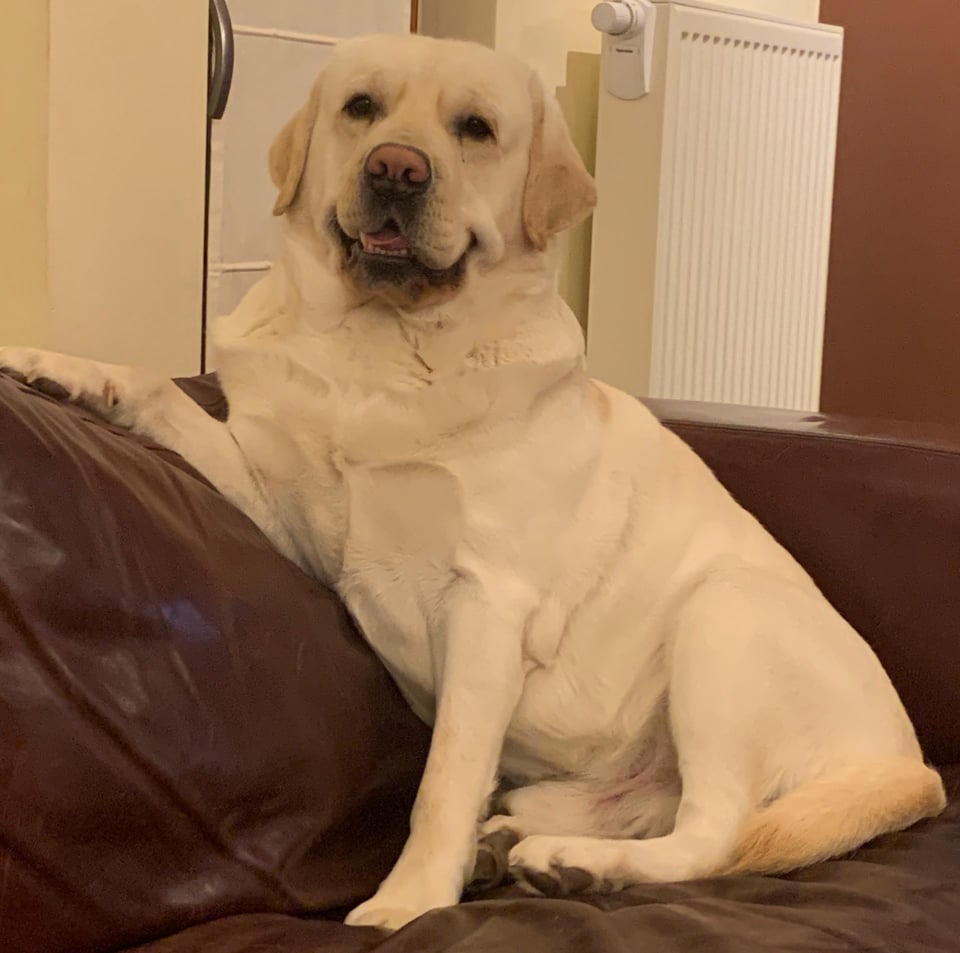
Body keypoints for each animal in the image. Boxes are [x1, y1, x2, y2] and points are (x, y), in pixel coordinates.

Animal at [0, 33, 944, 933]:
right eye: (361, 107)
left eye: (476, 129)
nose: (394, 167)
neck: (382, 345)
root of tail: (912, 766)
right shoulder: (278, 502)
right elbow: (157, 392)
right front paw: (59, 370)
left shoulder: (489, 599)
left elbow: (443, 775)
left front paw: (409, 897)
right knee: (638, 807)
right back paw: (518, 843)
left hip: (721, 620)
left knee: (716, 832)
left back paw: (574, 862)